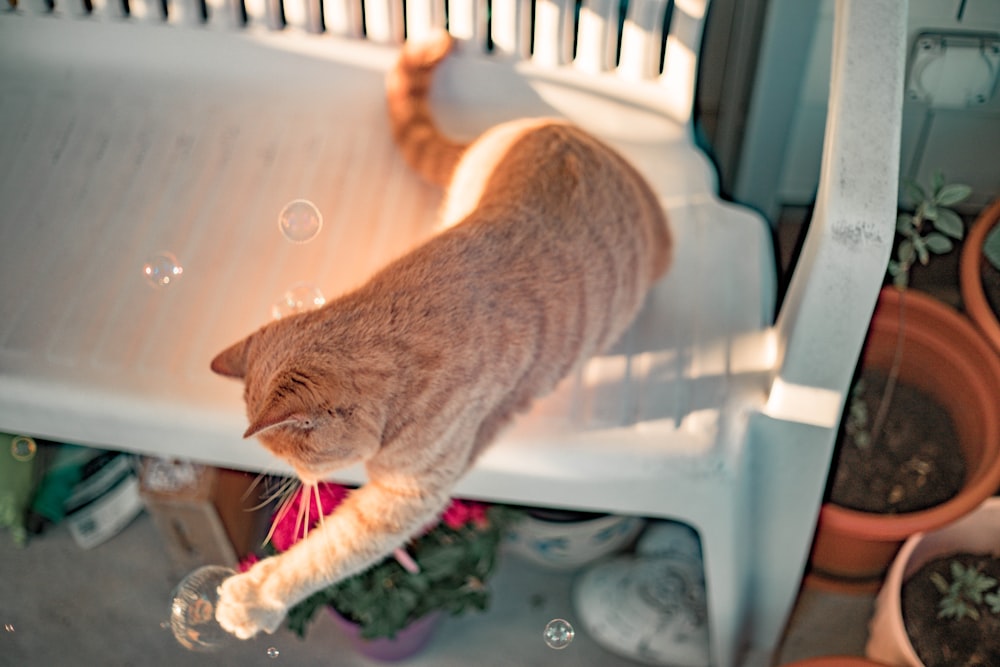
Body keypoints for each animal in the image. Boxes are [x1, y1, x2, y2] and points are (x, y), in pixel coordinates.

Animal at [209, 28, 672, 640]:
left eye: (299, 460)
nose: (300, 482)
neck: (394, 329)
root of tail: (544, 127)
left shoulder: (408, 494)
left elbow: (328, 552)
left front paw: (258, 595)